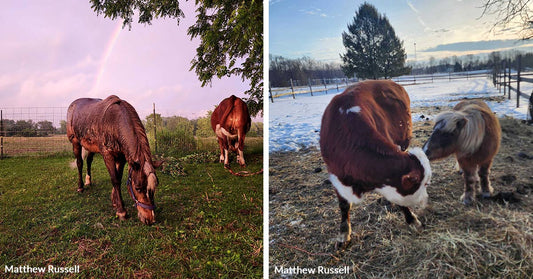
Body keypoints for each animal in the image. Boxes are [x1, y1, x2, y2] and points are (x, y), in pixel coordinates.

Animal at [318, 80, 430, 246]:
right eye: (424, 184)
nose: (425, 201)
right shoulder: (336, 175)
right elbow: (344, 205)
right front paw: (343, 234)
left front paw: (412, 220)